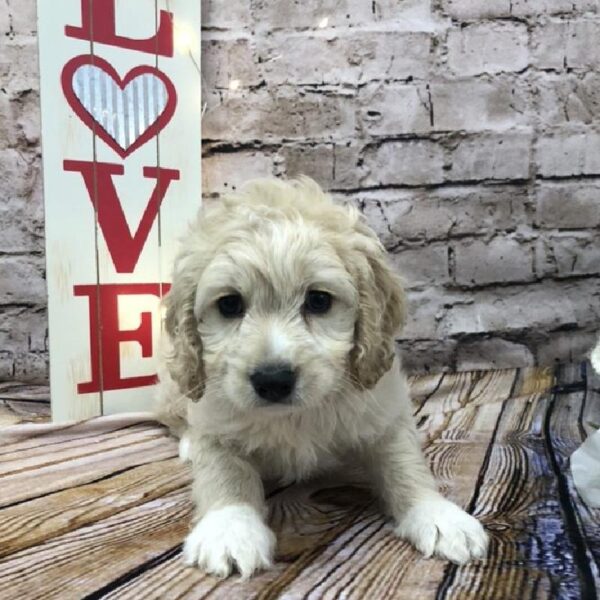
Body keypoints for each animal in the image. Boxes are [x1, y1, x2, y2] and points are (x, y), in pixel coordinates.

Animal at [155, 177, 488, 576]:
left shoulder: (383, 410)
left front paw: (437, 515)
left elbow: (404, 462)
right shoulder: (214, 419)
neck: (295, 415)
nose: (273, 380)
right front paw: (230, 528)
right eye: (230, 304)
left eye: (318, 301)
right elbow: (224, 473)